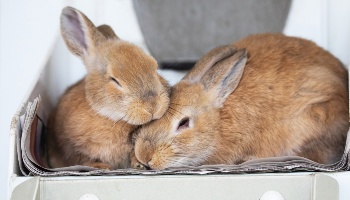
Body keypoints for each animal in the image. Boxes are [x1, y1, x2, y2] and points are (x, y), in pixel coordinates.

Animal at [47, 5, 170, 169]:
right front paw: (101, 167)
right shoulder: (70, 150)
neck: (108, 116)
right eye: (114, 80)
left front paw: (137, 164)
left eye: (154, 67)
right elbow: (81, 159)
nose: (153, 106)